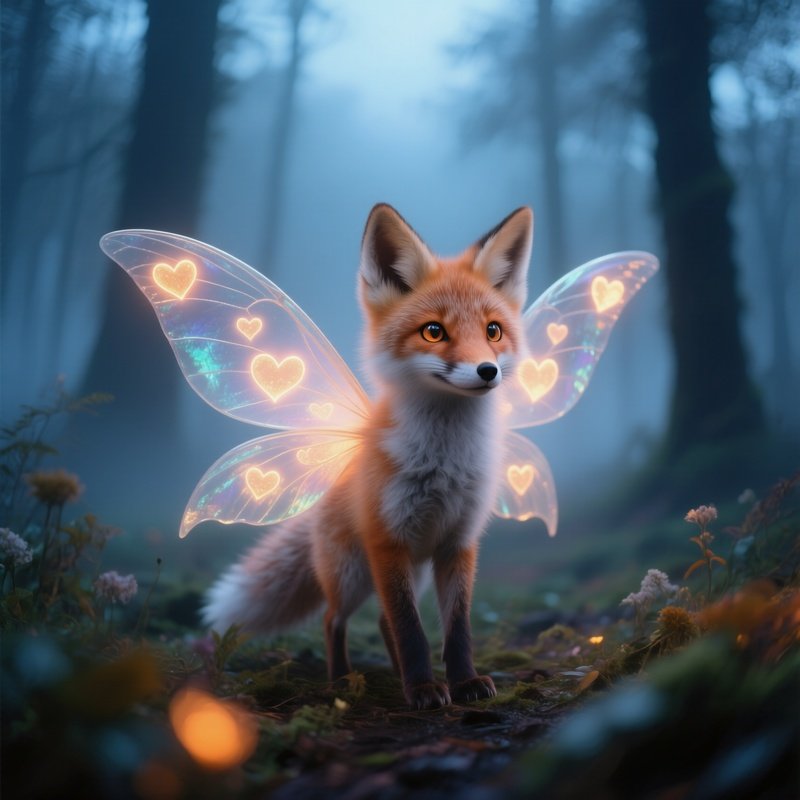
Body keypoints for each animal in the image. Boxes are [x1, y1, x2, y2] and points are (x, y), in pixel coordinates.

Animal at [202, 203, 533, 709]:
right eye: (433, 332)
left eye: (493, 331)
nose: (487, 371)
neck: (445, 460)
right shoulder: (387, 541)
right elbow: (410, 629)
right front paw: (422, 690)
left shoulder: (458, 542)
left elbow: (456, 629)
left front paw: (463, 683)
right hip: (354, 574)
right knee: (334, 619)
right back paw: (342, 681)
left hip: (410, 569)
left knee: (379, 621)